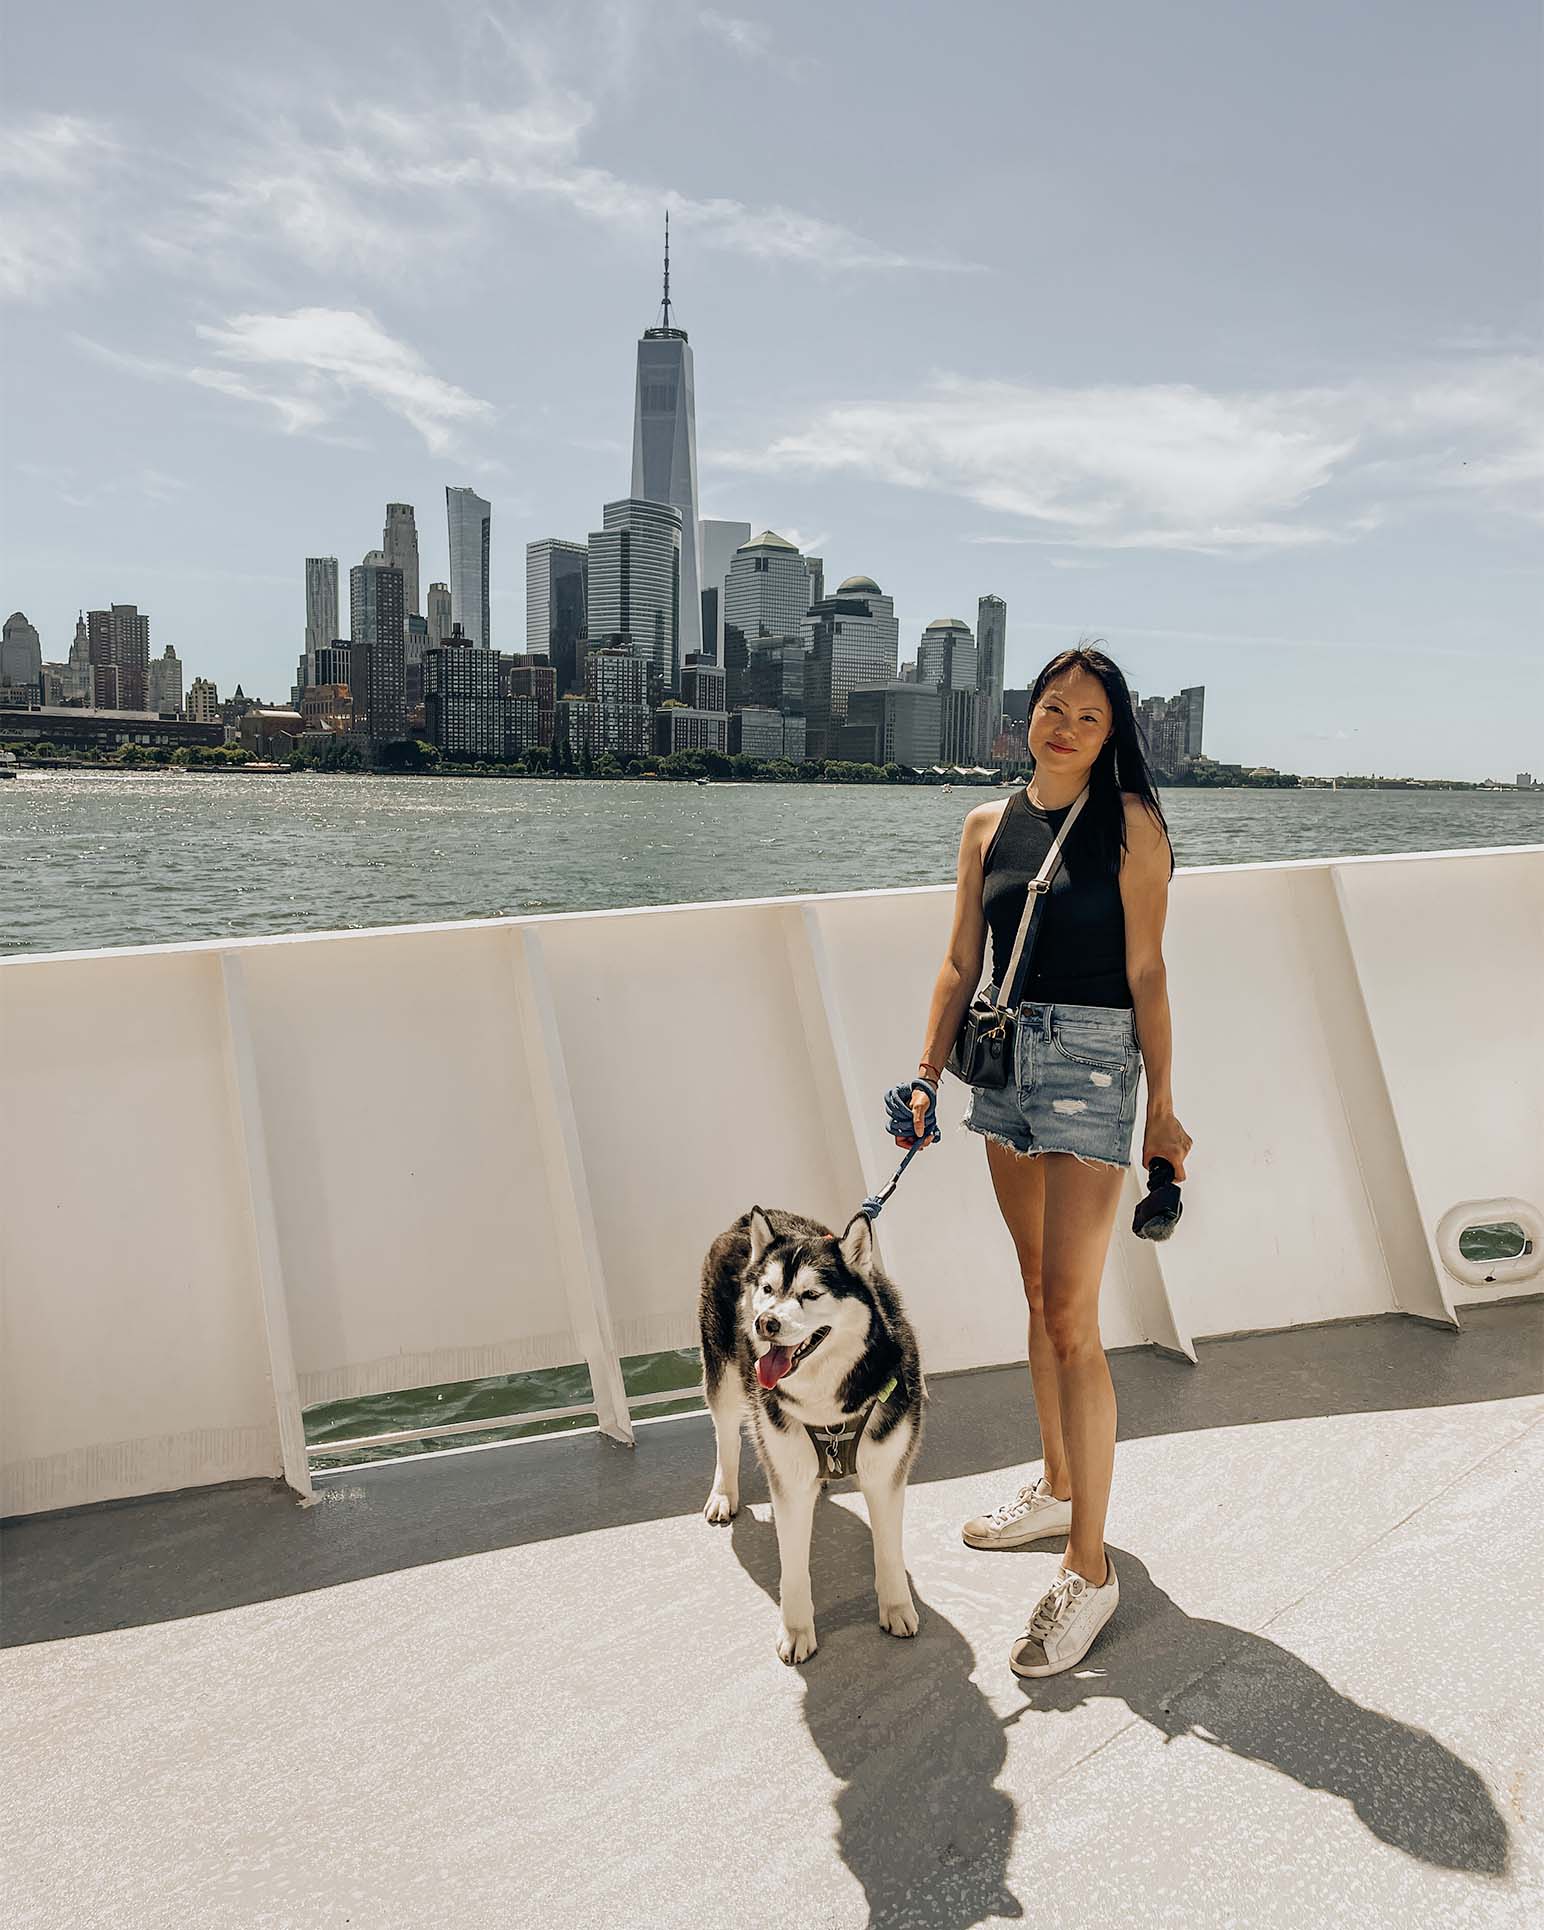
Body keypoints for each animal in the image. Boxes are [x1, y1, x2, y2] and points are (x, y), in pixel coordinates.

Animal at [702, 1204, 930, 1659]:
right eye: (768, 1289)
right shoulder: (788, 1479)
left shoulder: (886, 1472)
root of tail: (746, 1220)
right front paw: (796, 1630)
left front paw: (896, 1607)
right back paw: (723, 1494)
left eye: (810, 1295)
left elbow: (888, 1552)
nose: (765, 1323)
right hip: (723, 1373)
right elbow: (793, 1568)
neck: (828, 1403)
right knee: (726, 1434)